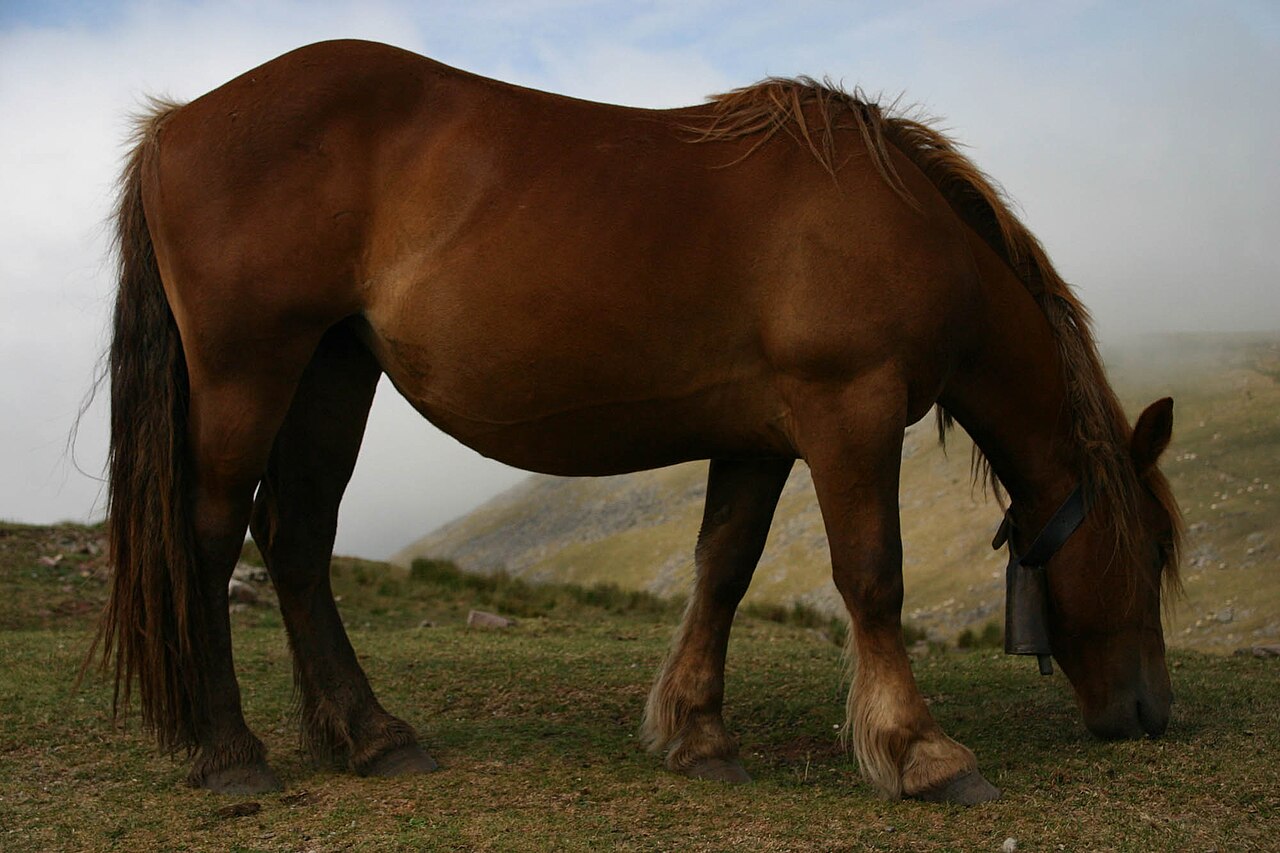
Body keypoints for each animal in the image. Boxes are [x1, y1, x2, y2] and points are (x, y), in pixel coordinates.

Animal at [94, 39, 1183, 804]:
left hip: (331, 368)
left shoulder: (757, 438)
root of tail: (178, 123)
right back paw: (230, 753)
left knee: (297, 538)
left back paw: (373, 736)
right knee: (209, 536)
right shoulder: (849, 410)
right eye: (1150, 552)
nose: (1152, 711)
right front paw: (922, 752)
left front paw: (696, 733)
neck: (899, 222)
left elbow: (723, 571)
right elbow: (873, 576)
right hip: (250, 369)